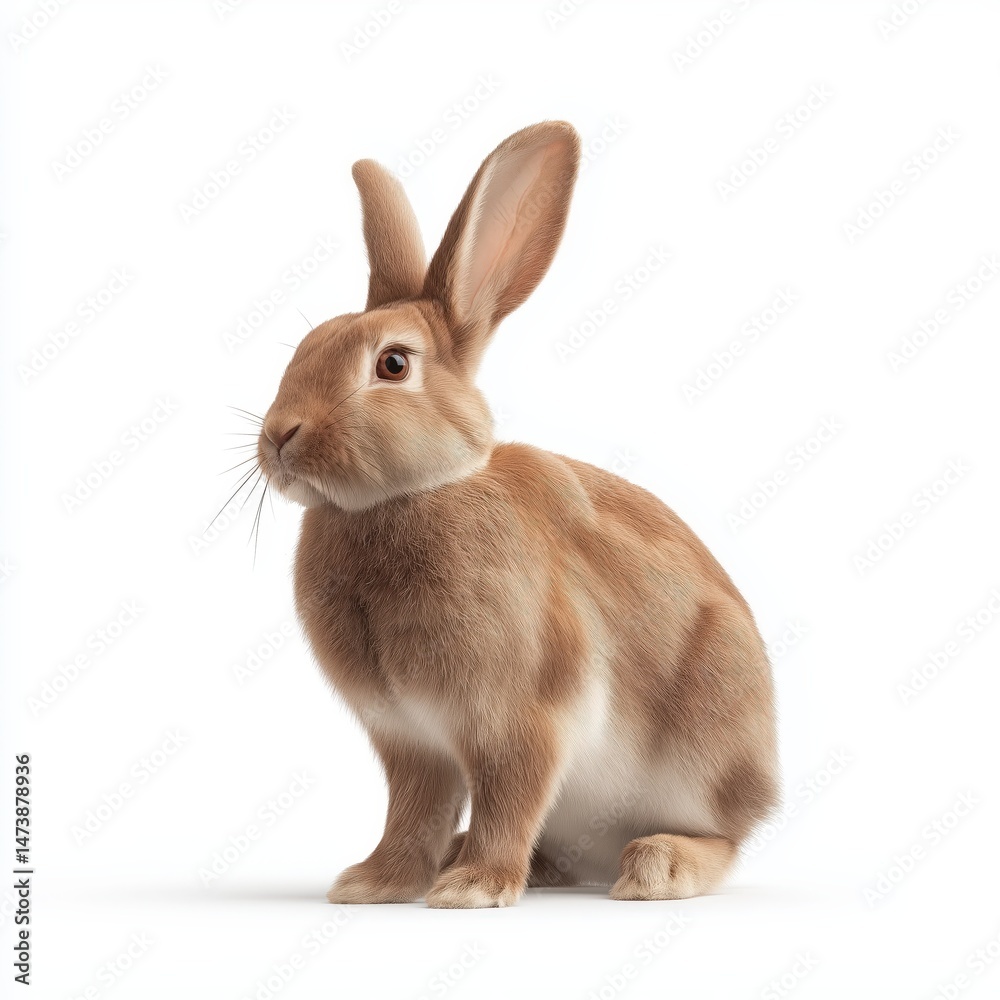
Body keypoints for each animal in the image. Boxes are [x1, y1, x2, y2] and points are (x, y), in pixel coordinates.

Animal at [255, 121, 778, 908]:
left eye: (392, 365)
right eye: (307, 347)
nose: (279, 436)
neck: (406, 497)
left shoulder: (519, 717)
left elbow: (509, 793)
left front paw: (472, 889)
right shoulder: (412, 740)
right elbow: (413, 810)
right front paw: (374, 884)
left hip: (707, 741)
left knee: (725, 840)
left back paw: (655, 866)